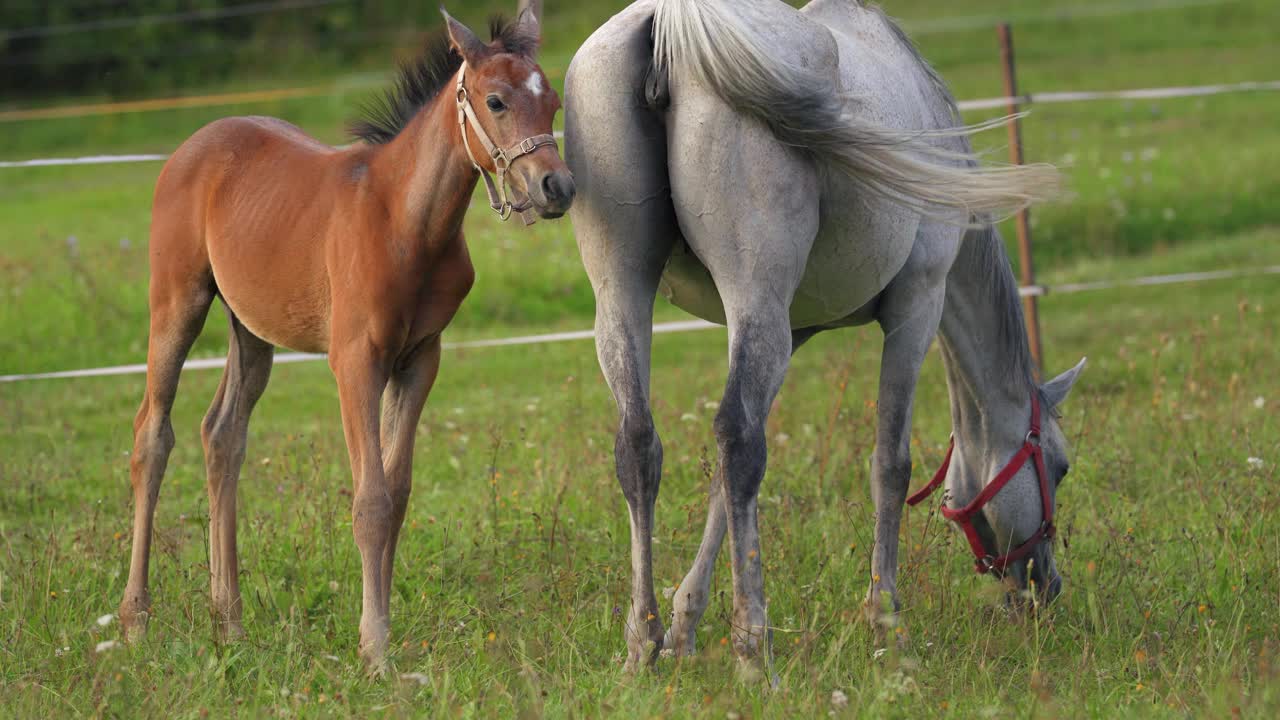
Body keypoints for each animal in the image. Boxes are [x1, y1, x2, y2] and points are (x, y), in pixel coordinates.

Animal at [117, 7, 573, 666]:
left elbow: (398, 492)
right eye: (496, 101)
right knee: (153, 435)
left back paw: (229, 621)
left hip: (250, 327)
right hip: (178, 301)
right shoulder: (355, 360)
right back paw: (136, 620)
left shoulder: (419, 359)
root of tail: (192, 145)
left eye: (554, 101)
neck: (406, 220)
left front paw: (378, 632)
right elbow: (371, 501)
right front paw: (375, 647)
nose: (556, 188)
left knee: (222, 435)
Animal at [565, 0, 1085, 671]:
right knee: (738, 438)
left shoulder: (797, 329)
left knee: (642, 446)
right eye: (1060, 466)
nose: (1046, 586)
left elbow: (721, 491)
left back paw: (643, 643)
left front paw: (685, 624)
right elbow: (890, 464)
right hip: (754, 300)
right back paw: (754, 647)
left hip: (624, 295)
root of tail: (668, 26)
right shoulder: (918, 306)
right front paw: (886, 621)